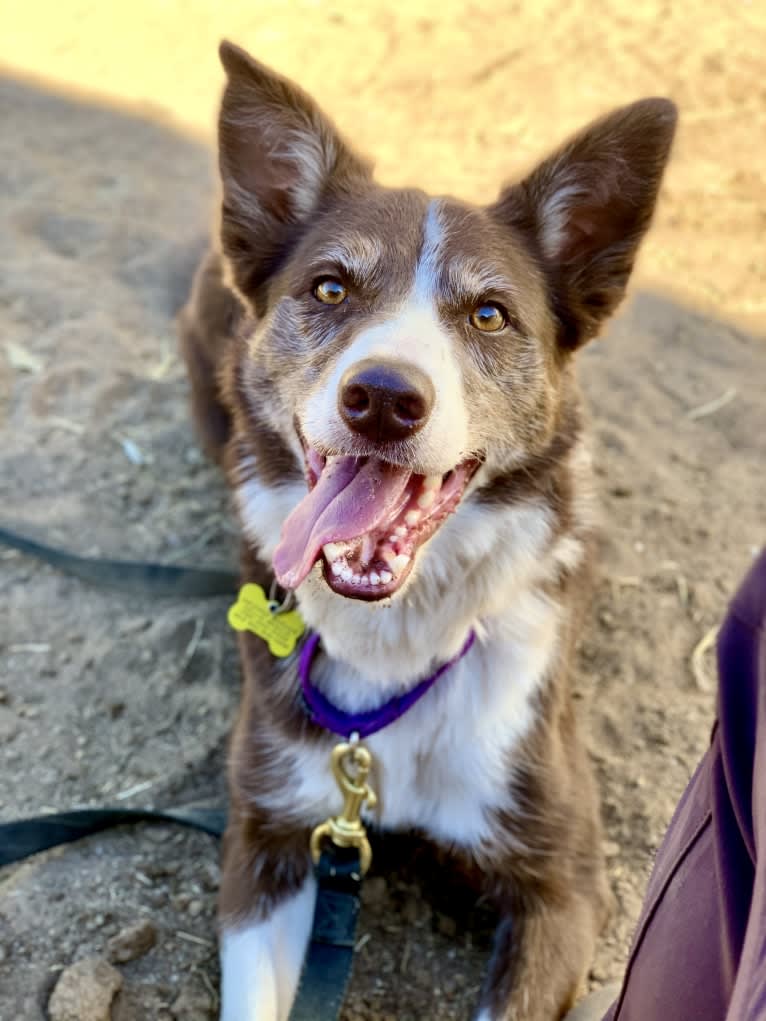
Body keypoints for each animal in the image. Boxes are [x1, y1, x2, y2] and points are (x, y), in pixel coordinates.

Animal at [181, 43, 678, 1021]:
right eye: (330, 286)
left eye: (489, 313)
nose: (381, 398)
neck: (401, 640)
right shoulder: (267, 828)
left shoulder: (566, 881)